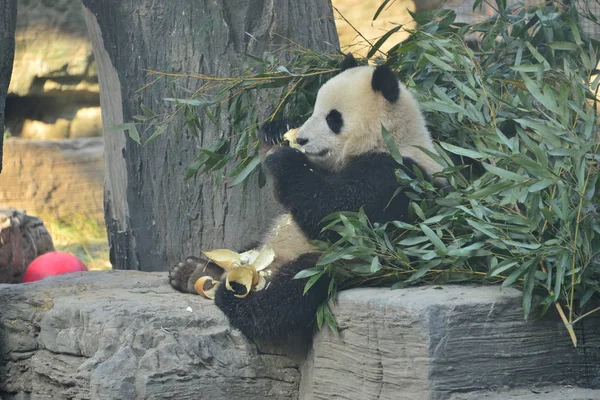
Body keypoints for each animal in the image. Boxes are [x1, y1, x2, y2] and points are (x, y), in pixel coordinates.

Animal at [168, 53, 440, 340]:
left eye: (333, 118)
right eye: (314, 110)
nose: (301, 139)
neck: (390, 138)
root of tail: (262, 269)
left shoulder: (397, 176)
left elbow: (339, 214)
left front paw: (284, 158)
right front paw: (275, 132)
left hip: (344, 261)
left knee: (295, 288)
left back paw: (236, 296)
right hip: (262, 246)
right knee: (248, 249)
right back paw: (193, 271)